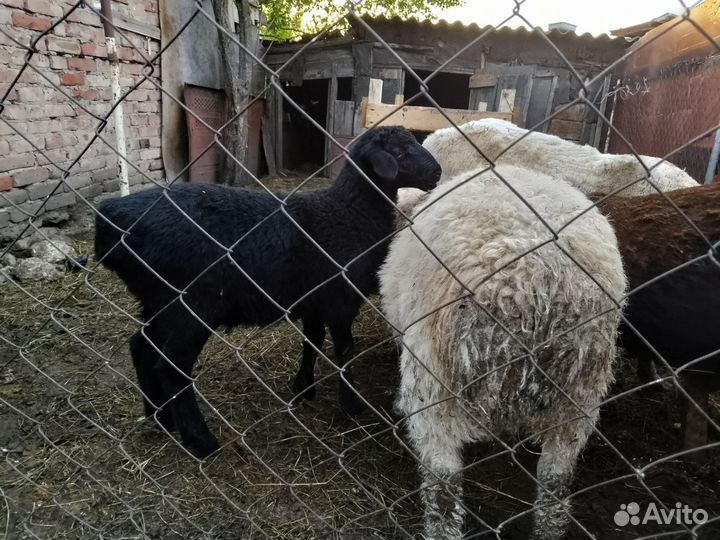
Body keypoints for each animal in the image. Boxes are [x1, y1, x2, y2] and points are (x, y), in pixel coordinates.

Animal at [94, 126, 441, 458]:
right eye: (399, 152)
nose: (437, 173)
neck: (348, 214)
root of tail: (110, 219)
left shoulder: (312, 301)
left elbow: (311, 342)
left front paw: (303, 387)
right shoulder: (340, 300)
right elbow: (344, 351)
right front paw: (351, 405)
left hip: (157, 300)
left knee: (141, 346)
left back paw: (160, 418)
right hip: (191, 305)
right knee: (170, 365)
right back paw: (200, 440)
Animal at [380, 164, 626, 540]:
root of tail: (535, 284)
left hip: (435, 383)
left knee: (443, 483)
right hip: (580, 394)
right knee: (556, 477)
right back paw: (548, 529)